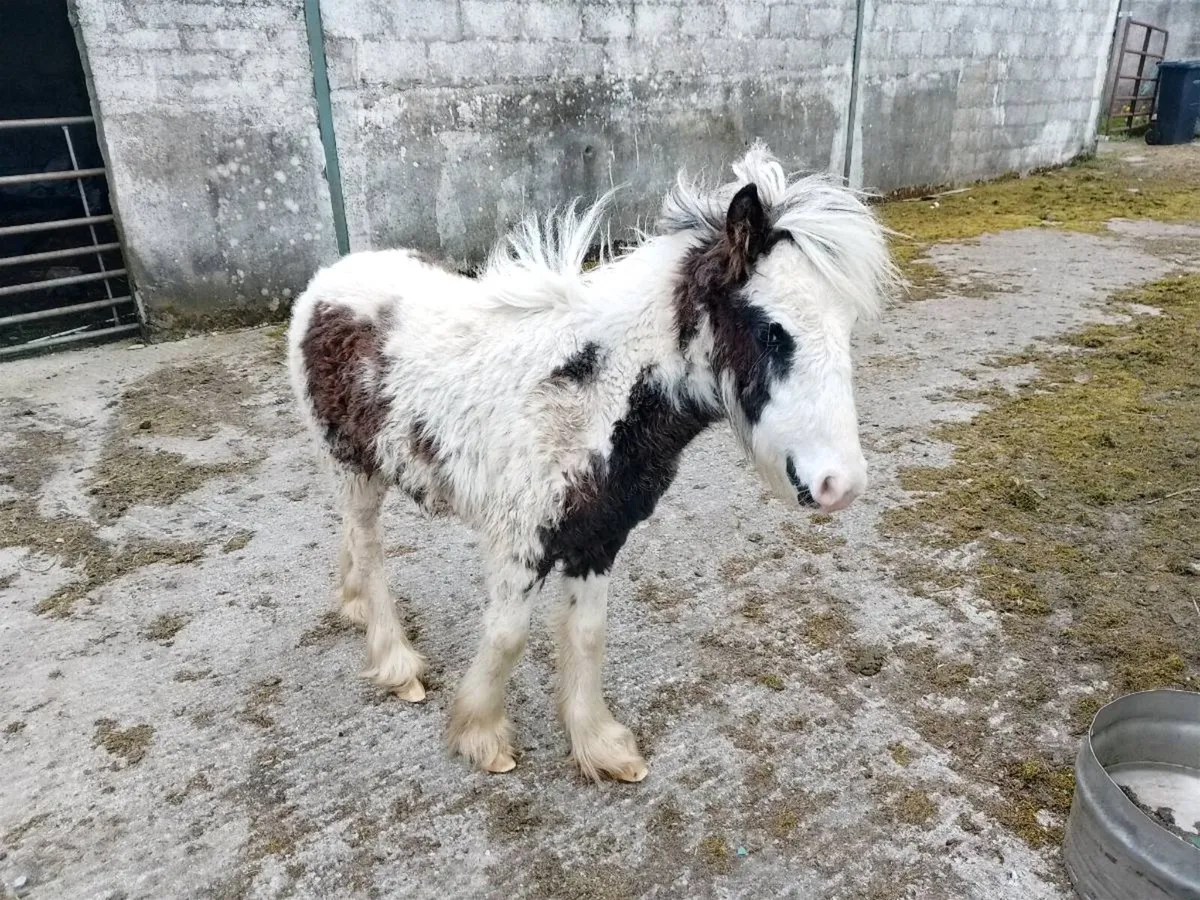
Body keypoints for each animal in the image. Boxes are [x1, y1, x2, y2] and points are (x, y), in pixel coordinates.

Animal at [286, 142, 898, 782]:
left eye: (847, 329)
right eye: (771, 332)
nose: (841, 484)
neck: (595, 390)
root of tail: (327, 283)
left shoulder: (600, 535)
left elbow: (587, 634)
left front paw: (598, 744)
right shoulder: (522, 538)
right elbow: (507, 635)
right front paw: (482, 736)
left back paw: (353, 607)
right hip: (351, 466)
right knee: (370, 549)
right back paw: (396, 660)